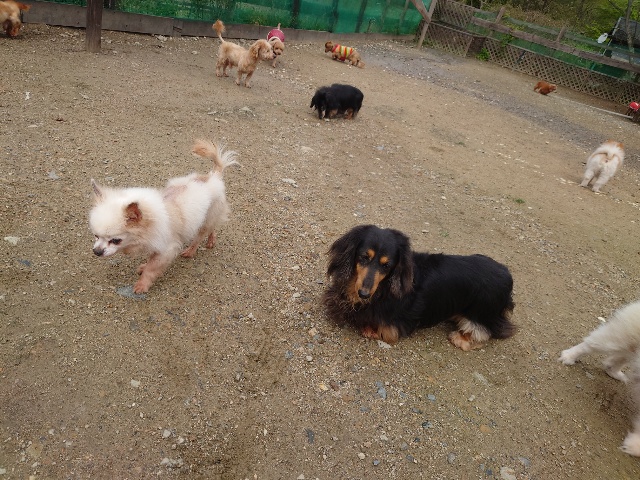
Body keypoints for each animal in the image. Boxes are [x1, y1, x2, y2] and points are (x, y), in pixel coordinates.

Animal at [89, 140, 238, 293]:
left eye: (115, 240)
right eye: (96, 236)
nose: (96, 251)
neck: (149, 223)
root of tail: (214, 176)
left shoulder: (167, 249)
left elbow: (152, 268)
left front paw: (142, 284)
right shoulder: (155, 244)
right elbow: (150, 261)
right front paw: (143, 267)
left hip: (207, 218)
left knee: (200, 236)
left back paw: (191, 251)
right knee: (213, 227)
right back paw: (211, 240)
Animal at [323, 225, 516, 350]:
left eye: (387, 265)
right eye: (364, 257)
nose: (363, 294)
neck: (382, 289)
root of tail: (507, 274)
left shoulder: (396, 325)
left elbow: (384, 331)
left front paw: (369, 330)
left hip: (482, 312)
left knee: (483, 331)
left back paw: (461, 339)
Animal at [559, 300, 640, 456]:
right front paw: (635, 445)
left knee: (614, 361)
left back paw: (616, 373)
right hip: (620, 336)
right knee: (590, 344)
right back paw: (569, 356)